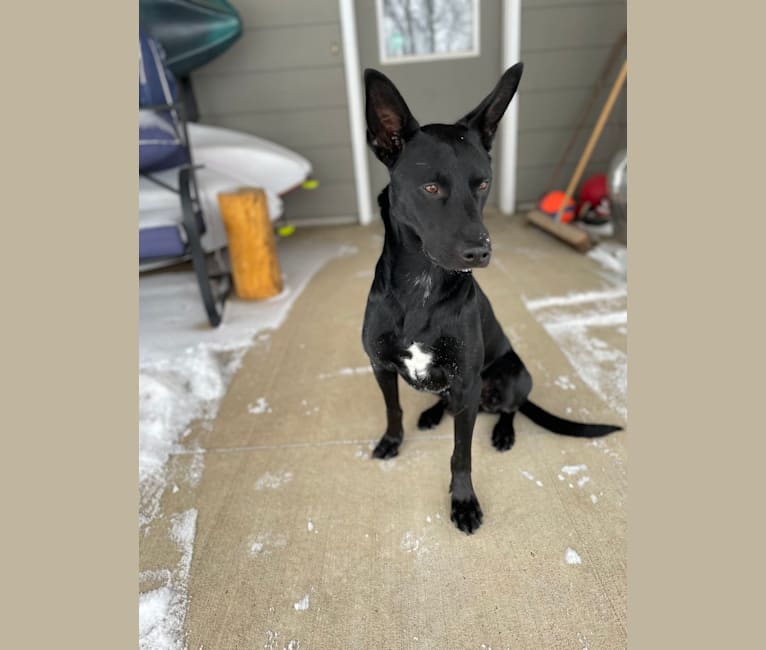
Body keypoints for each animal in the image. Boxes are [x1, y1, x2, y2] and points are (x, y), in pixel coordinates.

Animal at [364, 63, 620, 536]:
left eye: (483, 184)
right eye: (430, 188)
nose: (481, 252)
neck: (420, 287)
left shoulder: (466, 380)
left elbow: (461, 456)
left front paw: (463, 501)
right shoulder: (381, 367)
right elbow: (393, 411)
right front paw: (393, 440)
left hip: (513, 374)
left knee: (510, 408)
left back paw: (503, 432)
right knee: (445, 401)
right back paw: (432, 413)